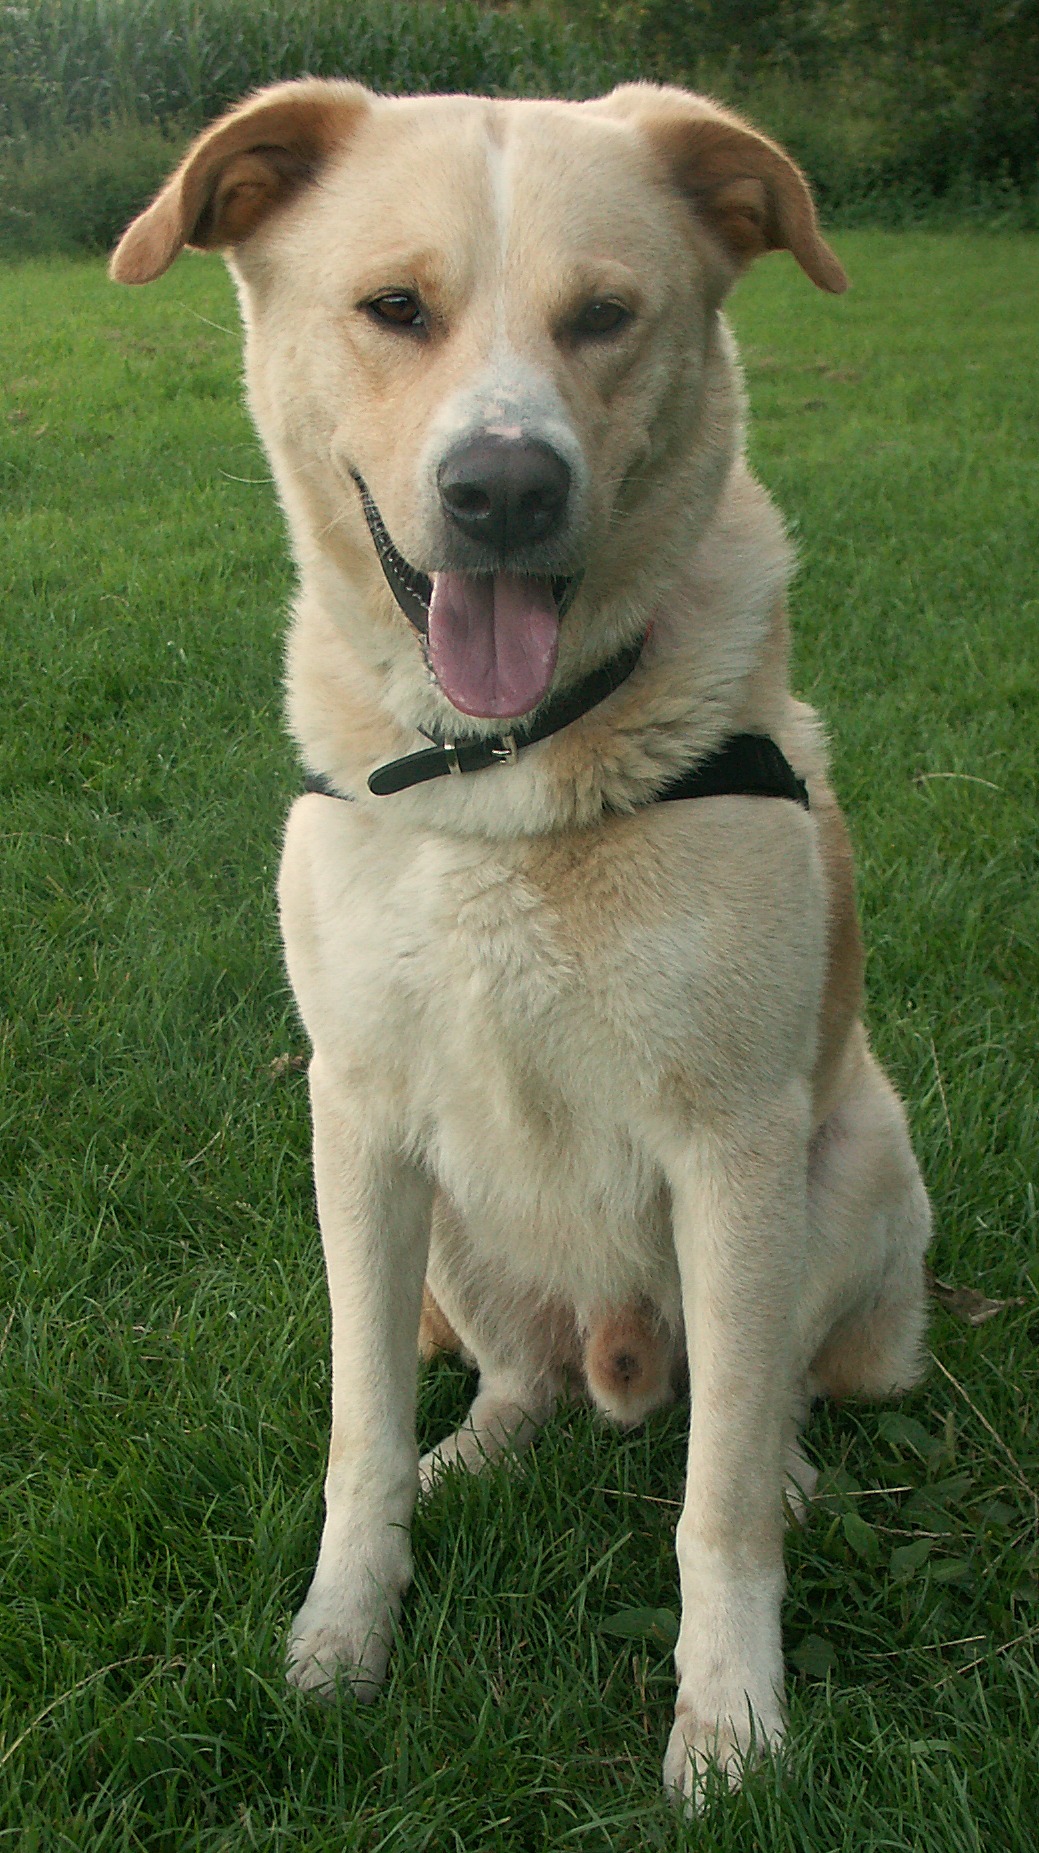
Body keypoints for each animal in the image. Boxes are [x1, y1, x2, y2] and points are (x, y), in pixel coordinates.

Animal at [113, 79, 933, 1801]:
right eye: (393, 309)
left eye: (604, 316)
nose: (502, 489)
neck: (502, 775)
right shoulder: (353, 1121)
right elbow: (355, 1429)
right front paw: (341, 1636)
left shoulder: (731, 1143)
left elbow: (715, 1502)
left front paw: (729, 1722)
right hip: (447, 1224)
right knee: (519, 1374)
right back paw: (477, 1451)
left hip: (849, 1170)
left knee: (762, 1398)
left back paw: (788, 1461)